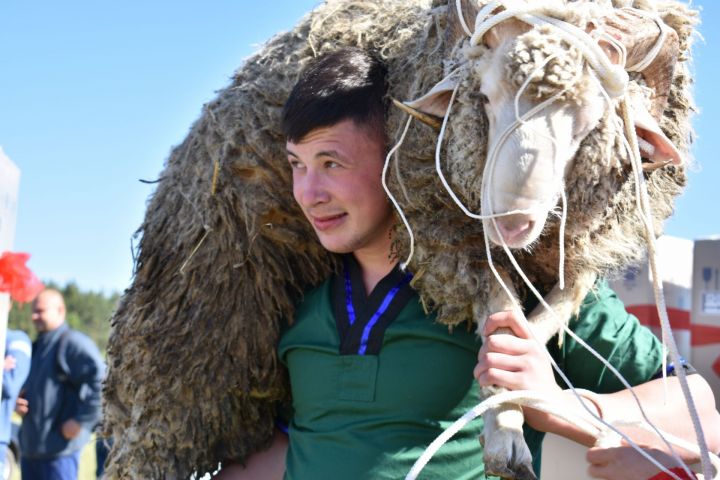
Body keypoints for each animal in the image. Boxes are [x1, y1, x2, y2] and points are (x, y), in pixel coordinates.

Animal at [102, 1, 696, 478]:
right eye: (483, 99)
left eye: (589, 119)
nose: (510, 221)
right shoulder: (452, 237)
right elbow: (502, 304)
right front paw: (504, 432)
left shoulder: (590, 244)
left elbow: (547, 316)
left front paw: (521, 389)